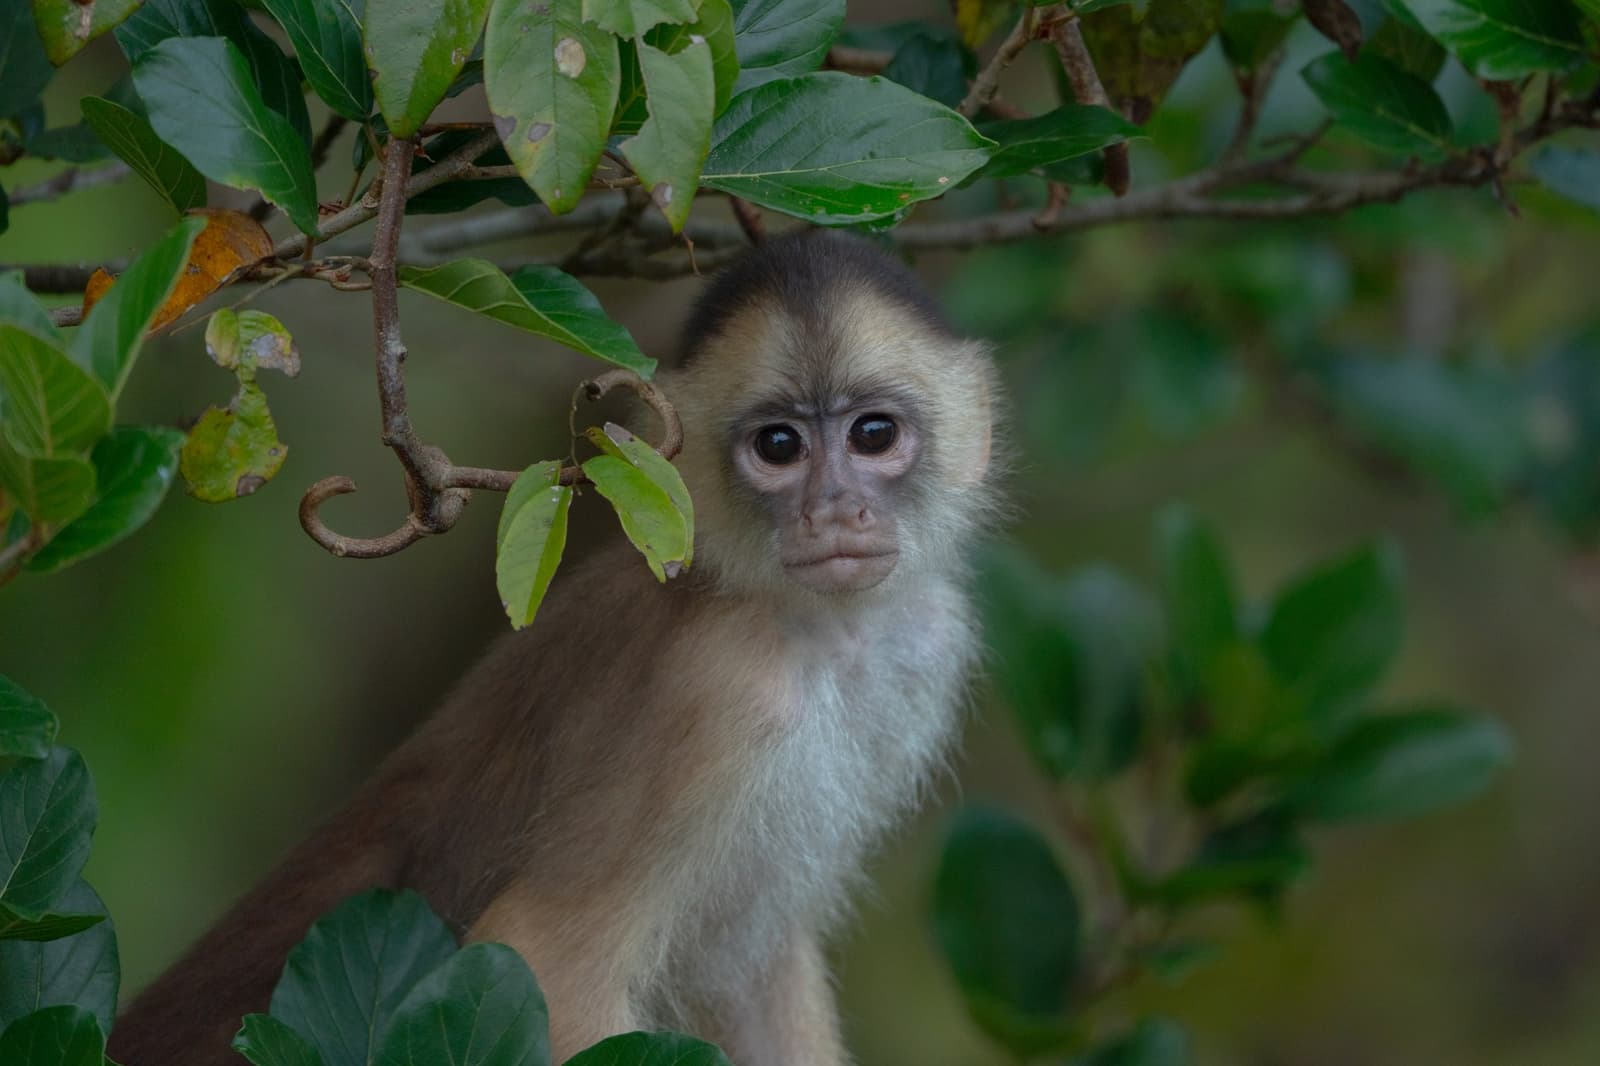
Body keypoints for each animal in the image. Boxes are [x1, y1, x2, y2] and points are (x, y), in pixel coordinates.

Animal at [107, 229, 1001, 1066]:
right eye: (779, 447)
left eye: (873, 434)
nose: (836, 511)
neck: (808, 627)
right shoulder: (717, 689)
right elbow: (546, 957)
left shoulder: (927, 645)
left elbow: (744, 967)